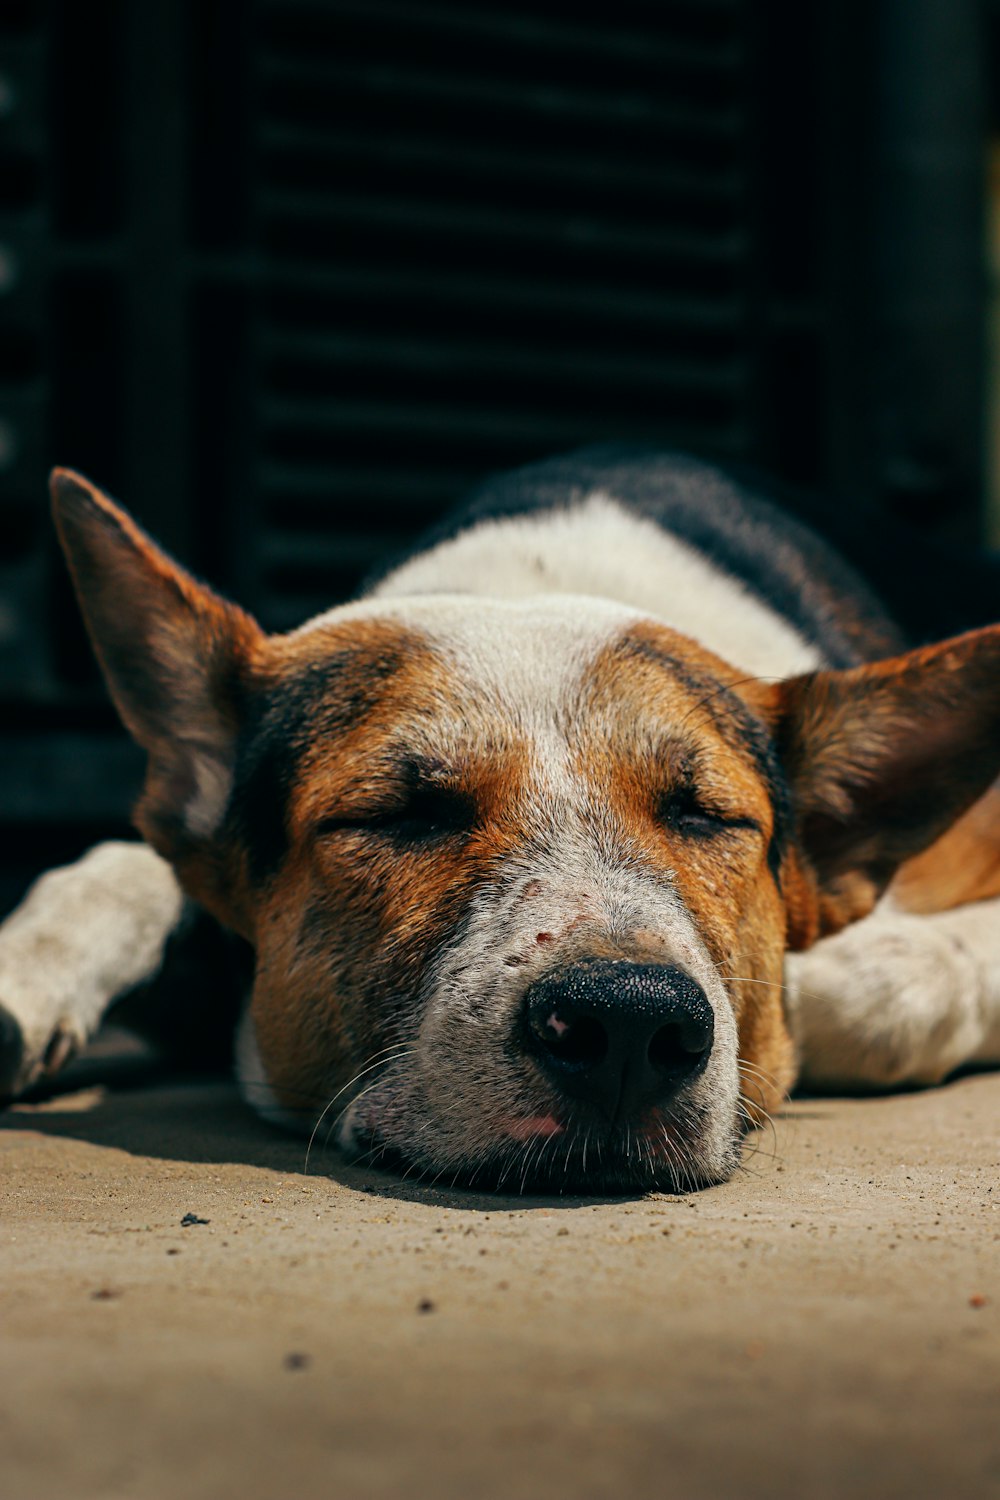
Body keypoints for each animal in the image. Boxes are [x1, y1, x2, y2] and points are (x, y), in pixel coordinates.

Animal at [1, 450, 1000, 1188]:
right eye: (403, 813)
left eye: (704, 815)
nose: (628, 1023)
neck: (535, 579)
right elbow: (122, 864)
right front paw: (30, 970)